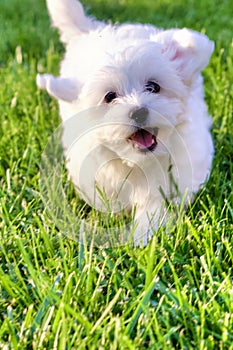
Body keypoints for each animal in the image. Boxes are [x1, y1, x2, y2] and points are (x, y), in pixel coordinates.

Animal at [37, 0, 214, 246]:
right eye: (110, 96)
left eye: (153, 87)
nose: (138, 112)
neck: (137, 162)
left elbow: (156, 206)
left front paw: (142, 236)